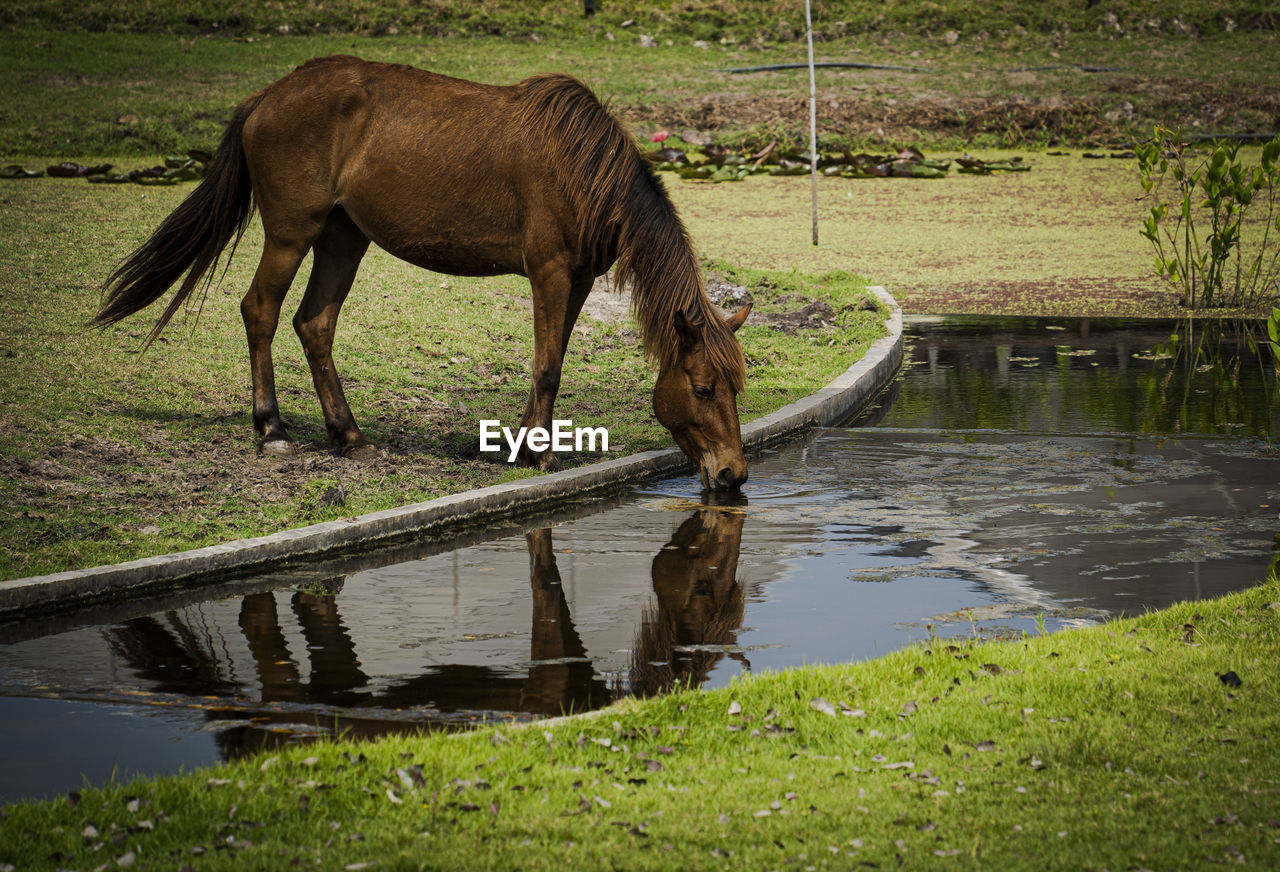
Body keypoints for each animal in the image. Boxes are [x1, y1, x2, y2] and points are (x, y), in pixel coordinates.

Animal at [97, 55, 747, 489]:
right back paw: (273, 429)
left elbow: (552, 359)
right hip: (290, 233)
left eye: (735, 388)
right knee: (261, 310)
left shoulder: (580, 279)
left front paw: (519, 444)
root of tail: (266, 96)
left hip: (343, 237)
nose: (734, 475)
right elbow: (546, 368)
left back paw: (349, 436)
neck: (585, 169)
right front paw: (540, 454)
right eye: (703, 389)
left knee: (314, 324)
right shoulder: (550, 272)